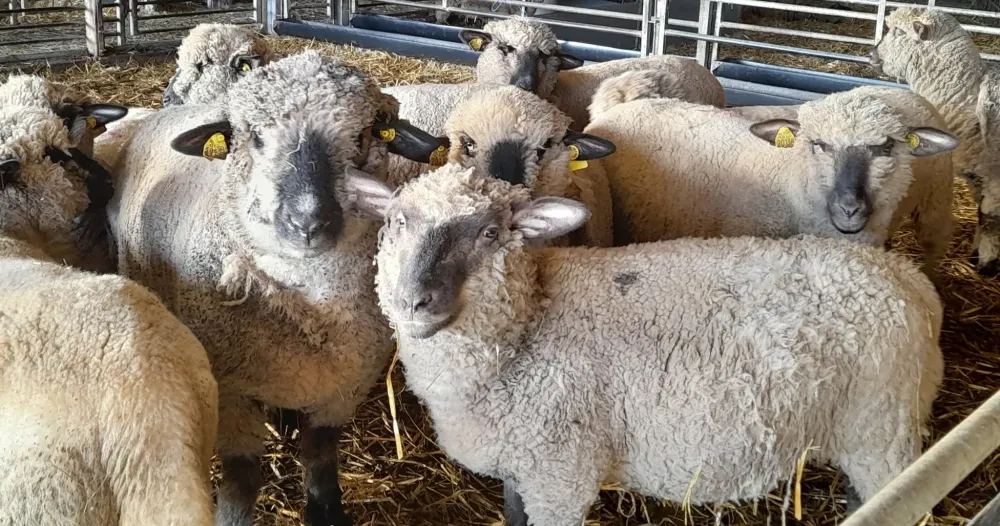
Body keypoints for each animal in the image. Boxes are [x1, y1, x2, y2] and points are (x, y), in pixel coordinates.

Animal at [107, 50, 442, 526]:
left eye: (361, 137)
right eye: (257, 138)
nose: (308, 222)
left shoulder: (346, 385)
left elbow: (319, 455)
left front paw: (326, 510)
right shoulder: (230, 391)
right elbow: (243, 476)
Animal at [358, 162, 943, 526]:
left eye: (489, 233)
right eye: (397, 221)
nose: (413, 301)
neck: (527, 330)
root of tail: (910, 280)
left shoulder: (561, 475)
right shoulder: (523, 465)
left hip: (883, 432)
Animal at [585, 71, 958, 278]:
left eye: (886, 147)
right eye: (818, 145)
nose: (849, 208)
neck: (788, 179)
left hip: (936, 202)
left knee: (933, 247)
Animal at [870, 7, 1000, 276]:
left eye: (900, 32)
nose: (871, 54)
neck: (967, 97)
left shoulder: (995, 176)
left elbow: (991, 220)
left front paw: (987, 263)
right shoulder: (980, 174)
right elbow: (982, 215)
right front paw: (976, 254)